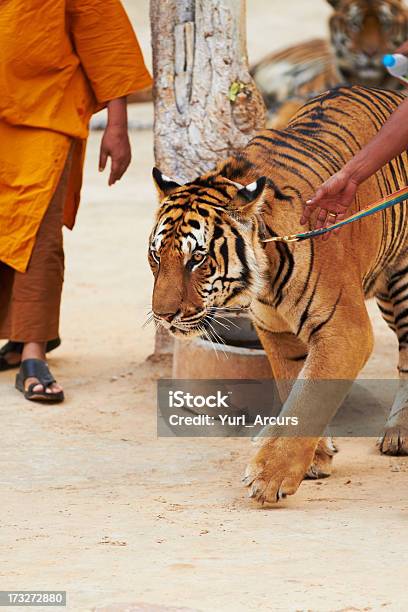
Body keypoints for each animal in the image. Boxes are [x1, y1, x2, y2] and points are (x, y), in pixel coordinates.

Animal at [150, 86, 408, 504]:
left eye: (197, 259)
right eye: (157, 255)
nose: (163, 315)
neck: (265, 279)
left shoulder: (344, 330)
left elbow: (309, 395)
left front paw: (269, 476)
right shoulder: (277, 332)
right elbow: (295, 387)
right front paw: (316, 458)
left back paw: (398, 433)